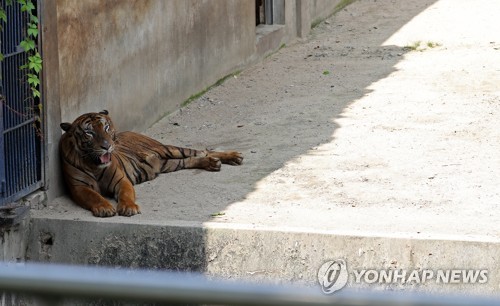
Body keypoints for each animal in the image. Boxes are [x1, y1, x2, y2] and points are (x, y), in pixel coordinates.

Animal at [59, 110, 243, 218]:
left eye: (106, 127)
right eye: (89, 133)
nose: (107, 145)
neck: (94, 165)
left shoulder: (121, 180)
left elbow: (126, 194)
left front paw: (129, 208)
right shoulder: (79, 187)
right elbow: (94, 196)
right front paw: (105, 208)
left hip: (169, 150)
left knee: (202, 151)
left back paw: (233, 157)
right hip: (171, 163)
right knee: (193, 159)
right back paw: (213, 164)